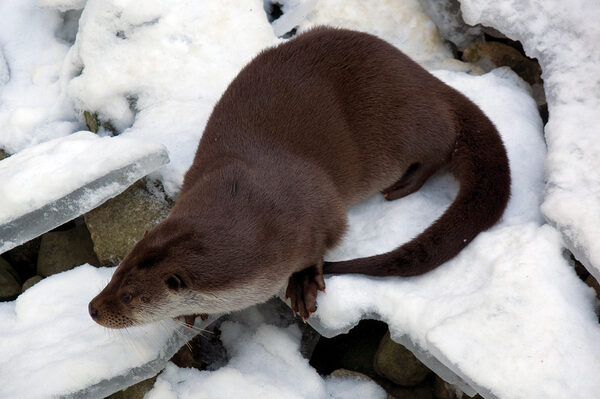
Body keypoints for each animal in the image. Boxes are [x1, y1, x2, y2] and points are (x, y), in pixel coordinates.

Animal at [88, 27, 510, 328]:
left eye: (128, 297)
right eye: (115, 275)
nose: (92, 308)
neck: (251, 206)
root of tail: (428, 80)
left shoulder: (319, 214)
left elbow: (324, 243)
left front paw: (304, 283)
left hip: (402, 120)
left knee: (437, 148)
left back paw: (403, 185)